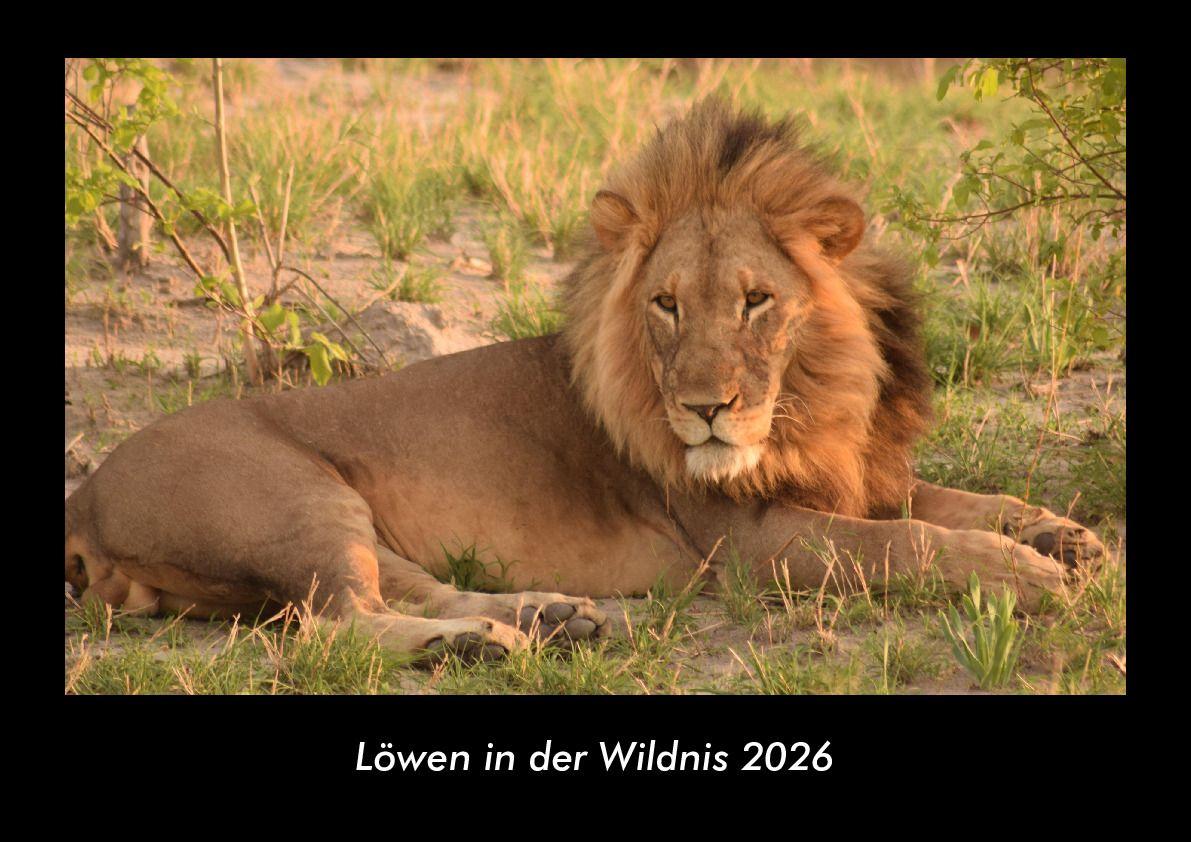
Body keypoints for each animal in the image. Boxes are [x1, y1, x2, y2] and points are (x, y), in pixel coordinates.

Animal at [64, 99, 1104, 665]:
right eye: (666, 305)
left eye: (756, 300)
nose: (704, 411)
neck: (818, 398)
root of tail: (85, 492)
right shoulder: (747, 541)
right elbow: (904, 544)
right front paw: (1023, 576)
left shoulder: (861, 475)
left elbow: (956, 499)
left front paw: (1062, 536)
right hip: (292, 499)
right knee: (334, 623)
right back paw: (472, 649)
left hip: (335, 517)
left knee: (402, 589)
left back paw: (548, 619)